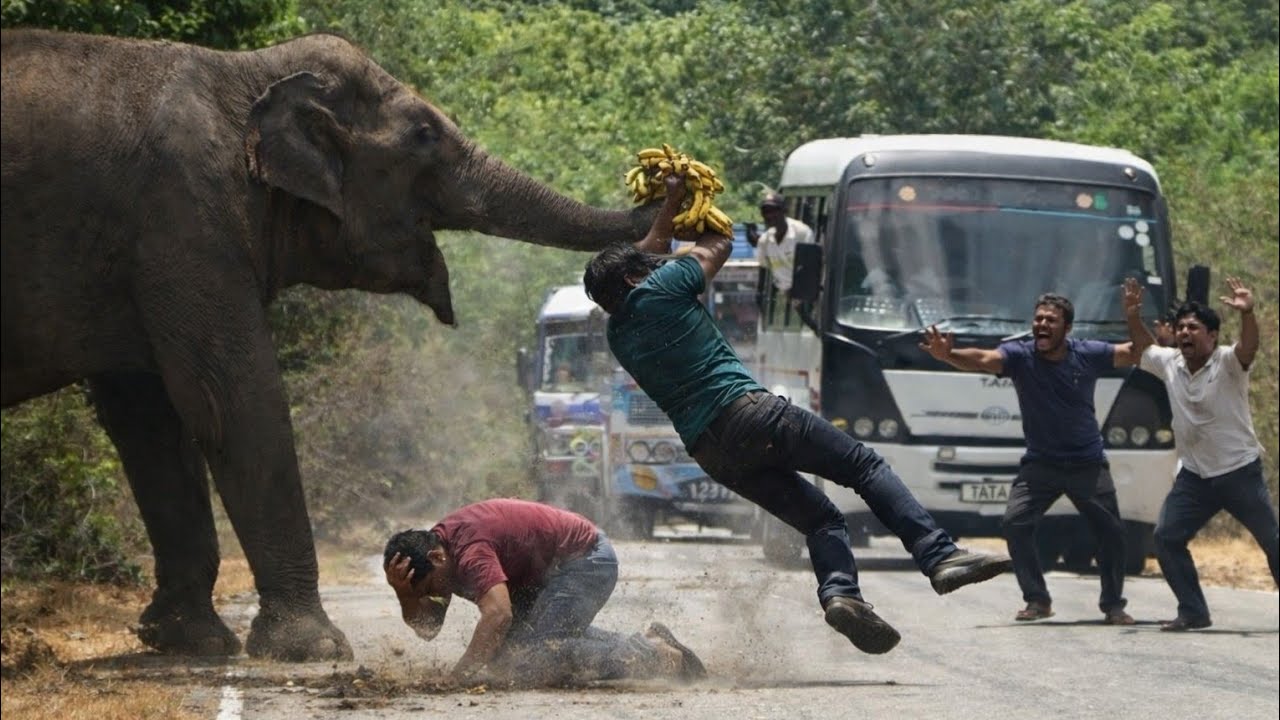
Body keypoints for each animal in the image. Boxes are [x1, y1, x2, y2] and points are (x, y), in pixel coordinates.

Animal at [0, 29, 657, 662]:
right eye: (424, 135)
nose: (660, 183)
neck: (243, 73)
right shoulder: (184, 220)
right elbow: (228, 396)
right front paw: (311, 649)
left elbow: (150, 418)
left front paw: (190, 643)